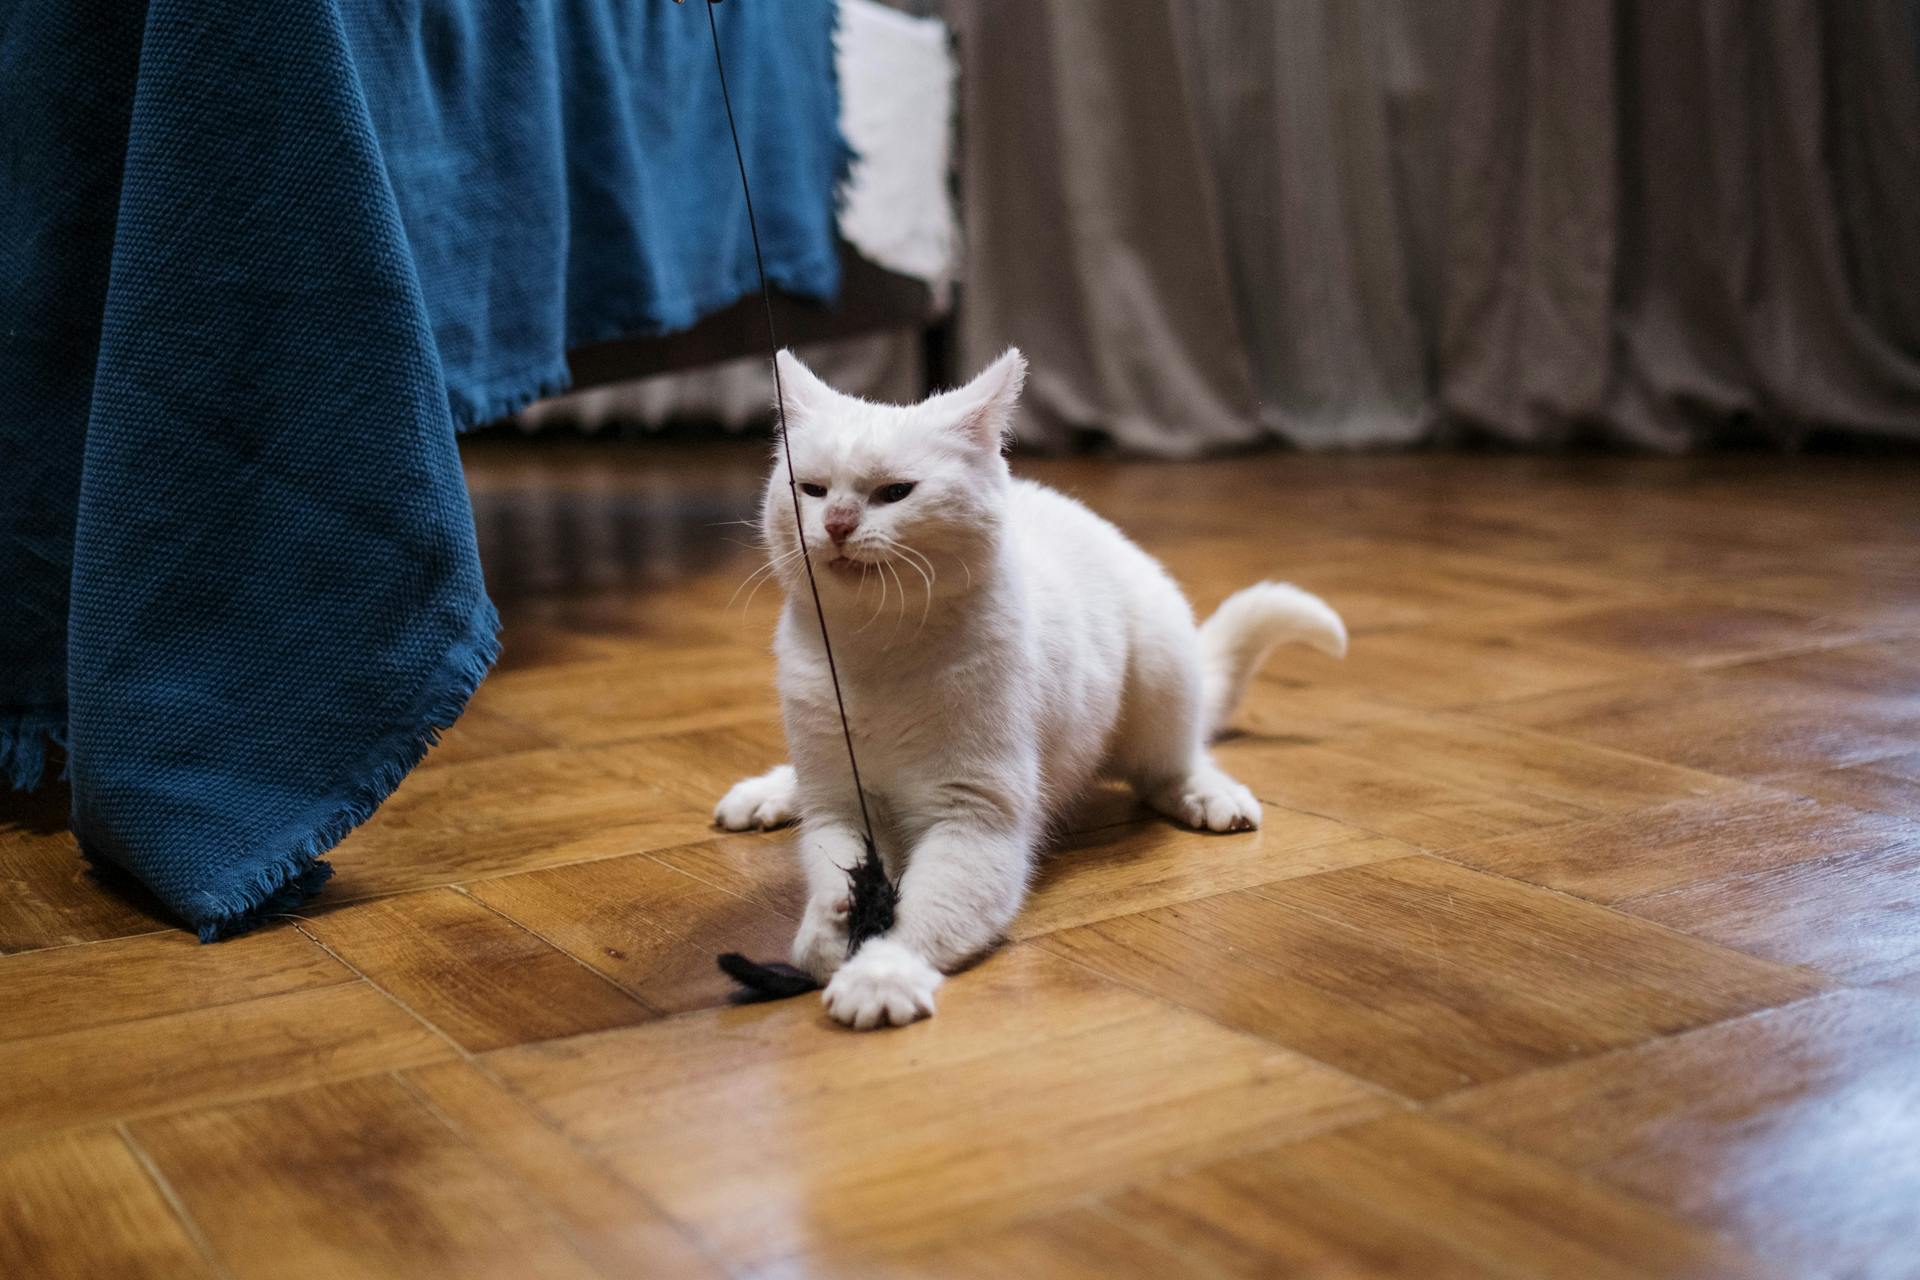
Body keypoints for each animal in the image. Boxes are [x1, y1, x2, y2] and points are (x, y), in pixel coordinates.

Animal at [714, 351, 1344, 1028]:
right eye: (812, 490)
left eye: (894, 493)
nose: (836, 524)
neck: (873, 650)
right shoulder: (839, 802)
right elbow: (832, 866)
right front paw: (828, 930)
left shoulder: (976, 819)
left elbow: (925, 912)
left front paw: (878, 973)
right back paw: (766, 794)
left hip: (1160, 668)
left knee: (1171, 765)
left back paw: (1207, 794)